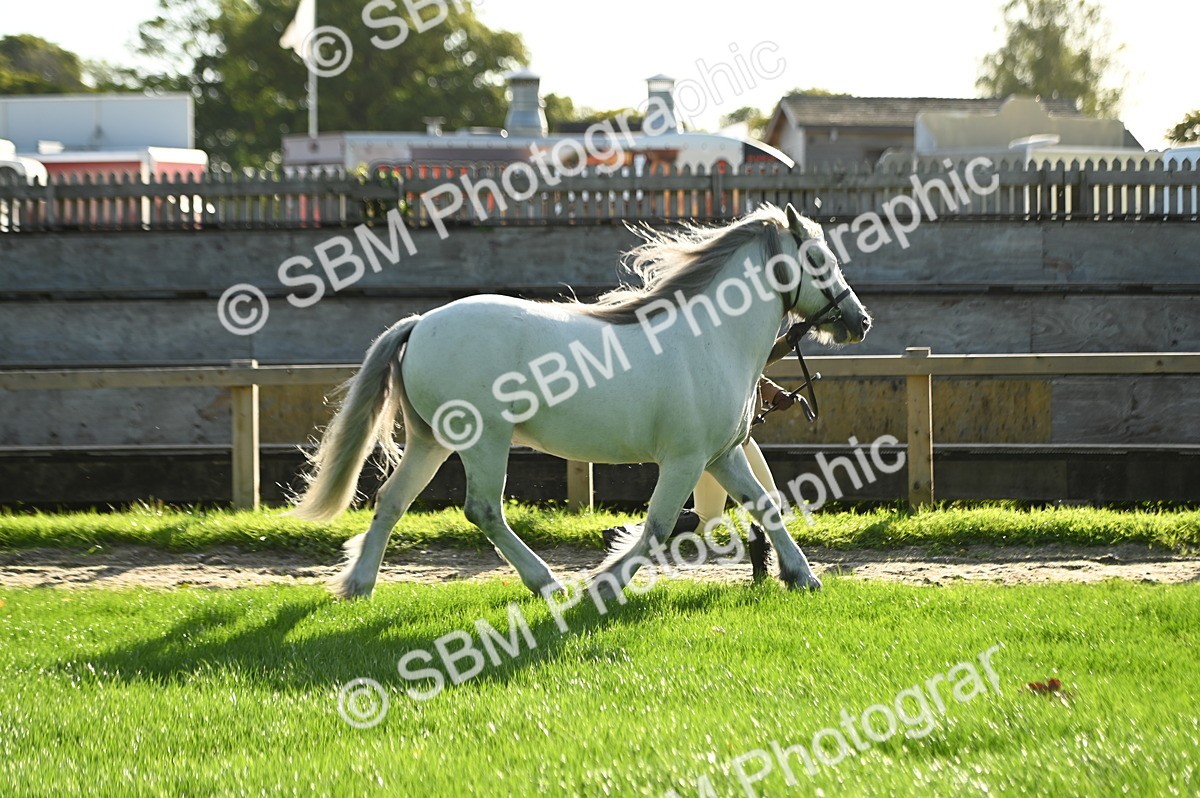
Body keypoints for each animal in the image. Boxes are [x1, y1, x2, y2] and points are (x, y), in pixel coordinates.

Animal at [291, 203, 871, 599]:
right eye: (818, 258)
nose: (859, 320)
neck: (710, 340)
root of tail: (420, 323)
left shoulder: (722, 454)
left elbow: (765, 505)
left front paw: (803, 576)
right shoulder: (685, 460)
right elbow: (657, 527)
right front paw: (604, 582)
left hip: (430, 441)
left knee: (392, 499)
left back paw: (358, 585)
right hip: (484, 441)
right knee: (482, 509)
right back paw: (547, 582)